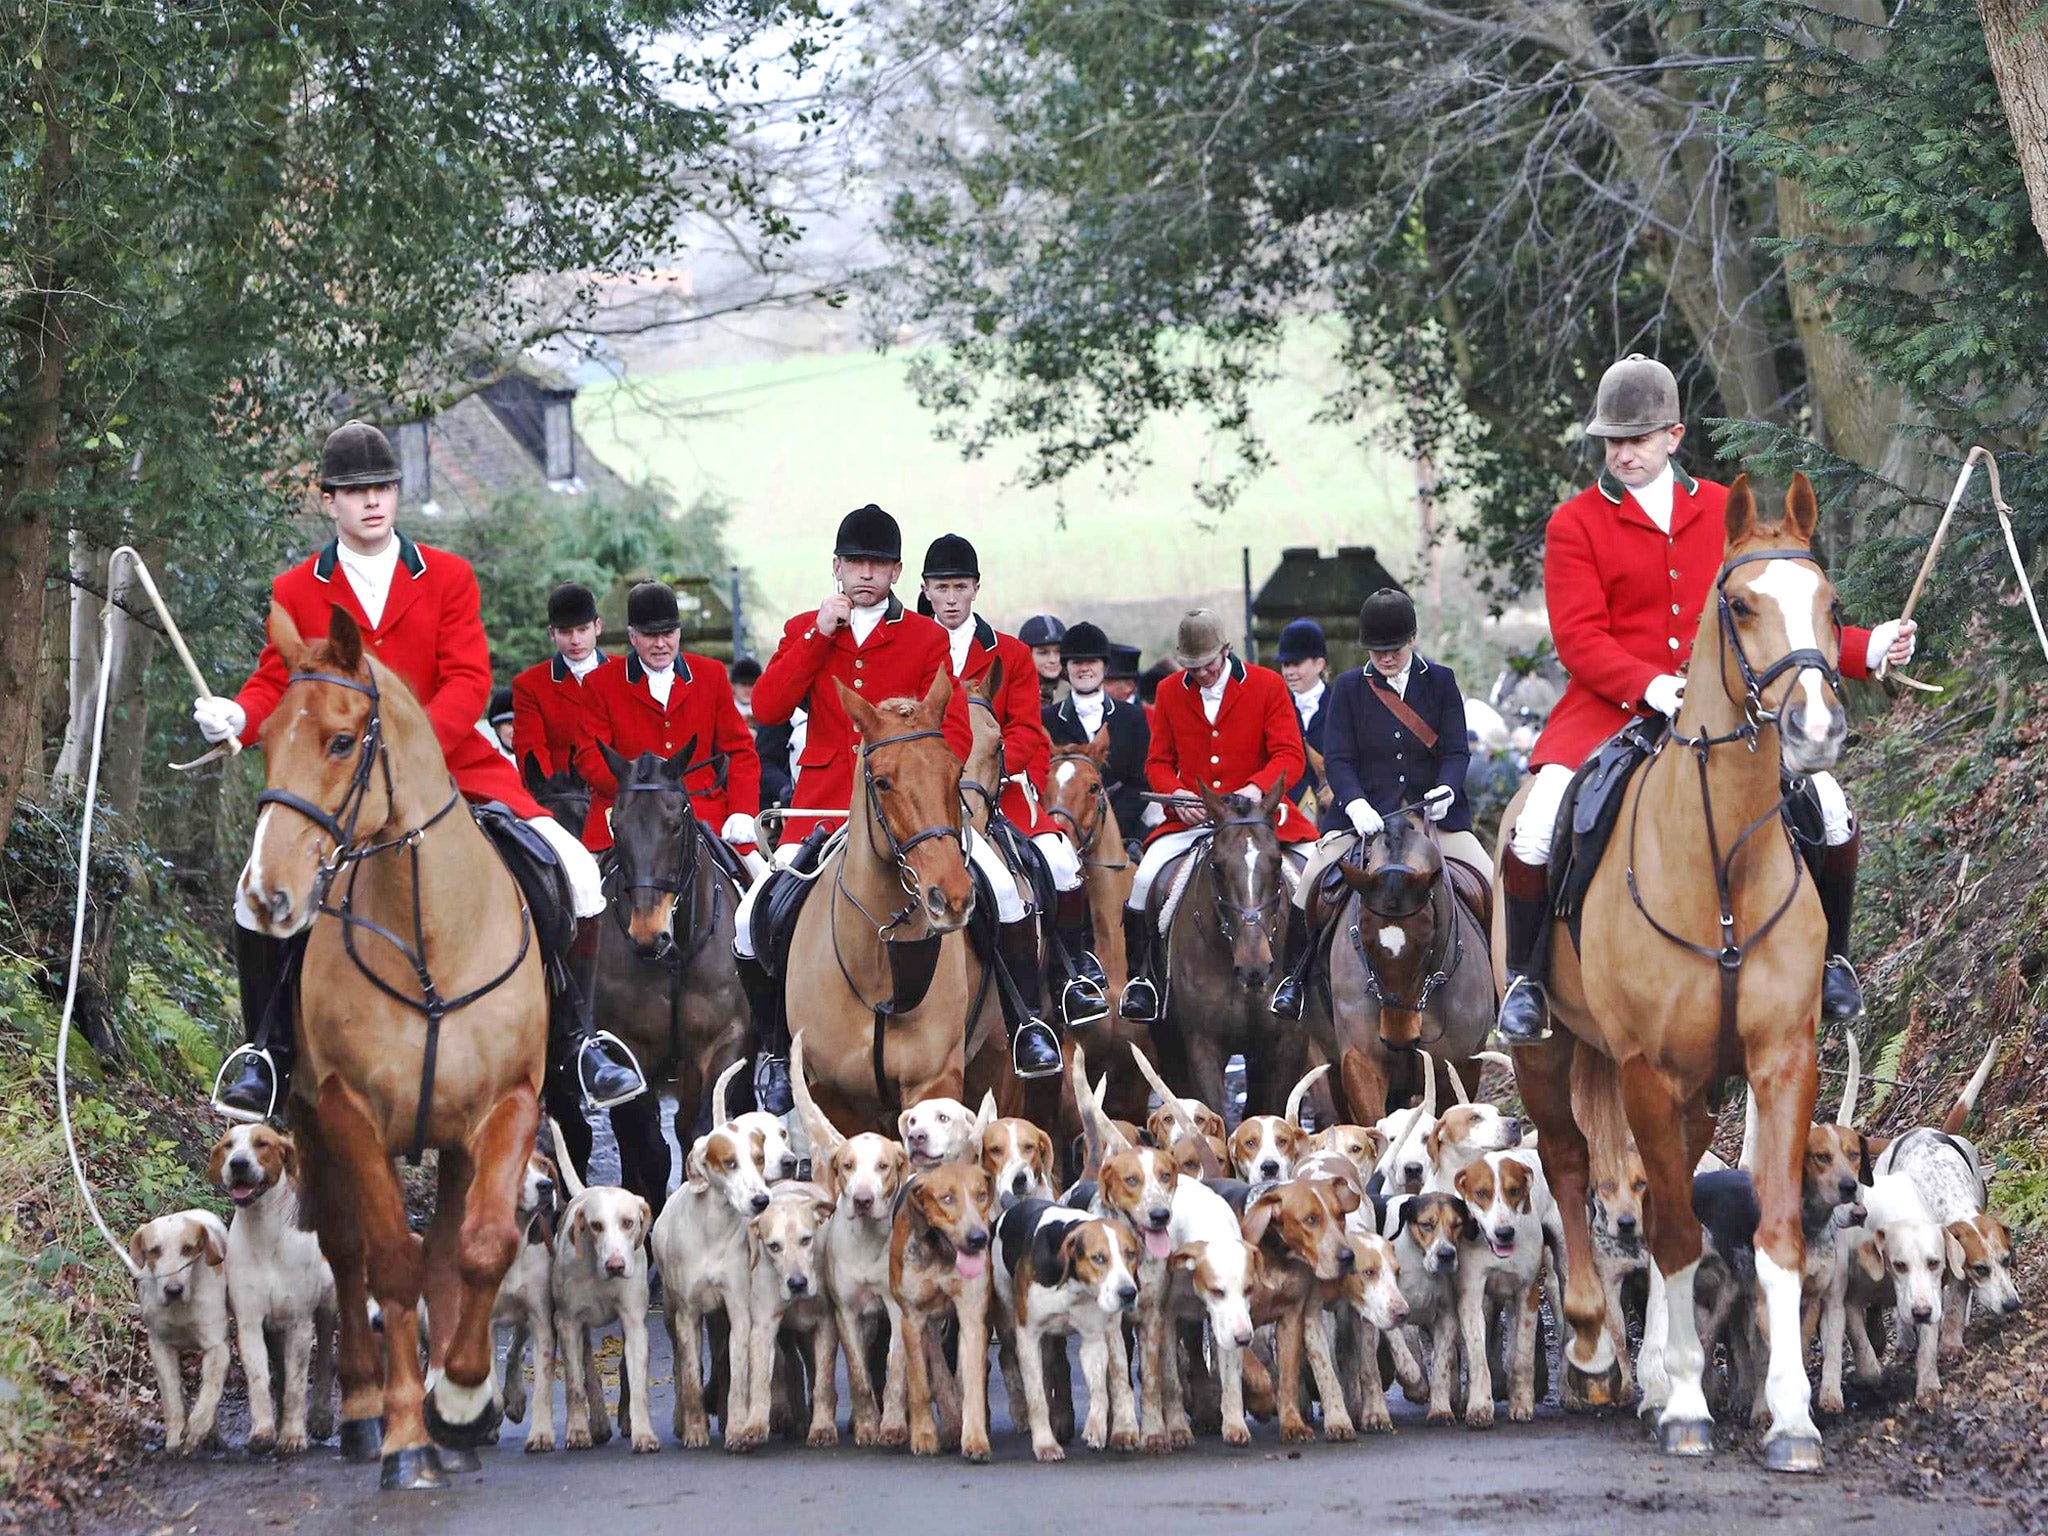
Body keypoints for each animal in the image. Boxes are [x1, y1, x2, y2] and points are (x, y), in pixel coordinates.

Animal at [235, 606, 540, 1490]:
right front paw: (408, 1438)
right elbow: (389, 1262)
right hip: (307, 1122)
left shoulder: (508, 1103)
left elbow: (479, 1248)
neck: (430, 938)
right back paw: (368, 1409)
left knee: (447, 1249)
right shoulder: (349, 1112)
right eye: (264, 736)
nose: (267, 897)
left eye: (342, 741)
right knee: (347, 1253)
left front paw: (461, 1402)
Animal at [593, 741, 753, 1212]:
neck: (676, 955)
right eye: (617, 824)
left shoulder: (722, 1042)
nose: (648, 934)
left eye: (675, 821)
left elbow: (702, 1132)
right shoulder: (631, 1050)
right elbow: (651, 1149)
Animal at [778, 675, 995, 1146]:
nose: (951, 896)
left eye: (954, 772)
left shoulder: (934, 1082)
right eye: (882, 782)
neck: (878, 961)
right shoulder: (830, 1094)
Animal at [1499, 475, 1851, 1474]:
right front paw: (1689, 1401)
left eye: (1831, 604)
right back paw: (1594, 1348)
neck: (1723, 861)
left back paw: (1654, 1373)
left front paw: (1790, 1418)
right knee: (1570, 1162)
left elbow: (1762, 1231)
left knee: (1669, 1189)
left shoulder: (1780, 1060)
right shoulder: (1645, 1069)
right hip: (1552, 1055)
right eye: (1741, 605)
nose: (1817, 730)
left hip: (1694, 1090)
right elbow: (1667, 1229)